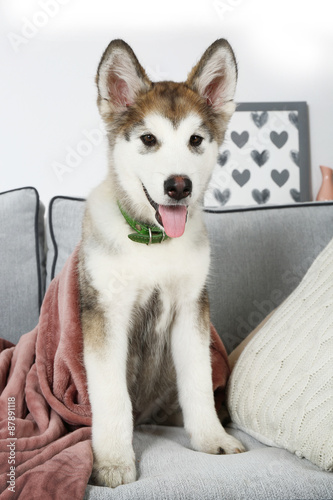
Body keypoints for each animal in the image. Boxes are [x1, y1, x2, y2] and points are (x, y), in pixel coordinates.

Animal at [79, 39, 243, 488]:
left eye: (196, 139)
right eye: (149, 139)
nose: (178, 186)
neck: (151, 243)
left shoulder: (191, 310)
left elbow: (198, 383)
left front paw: (211, 439)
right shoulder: (106, 315)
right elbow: (111, 396)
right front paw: (113, 462)